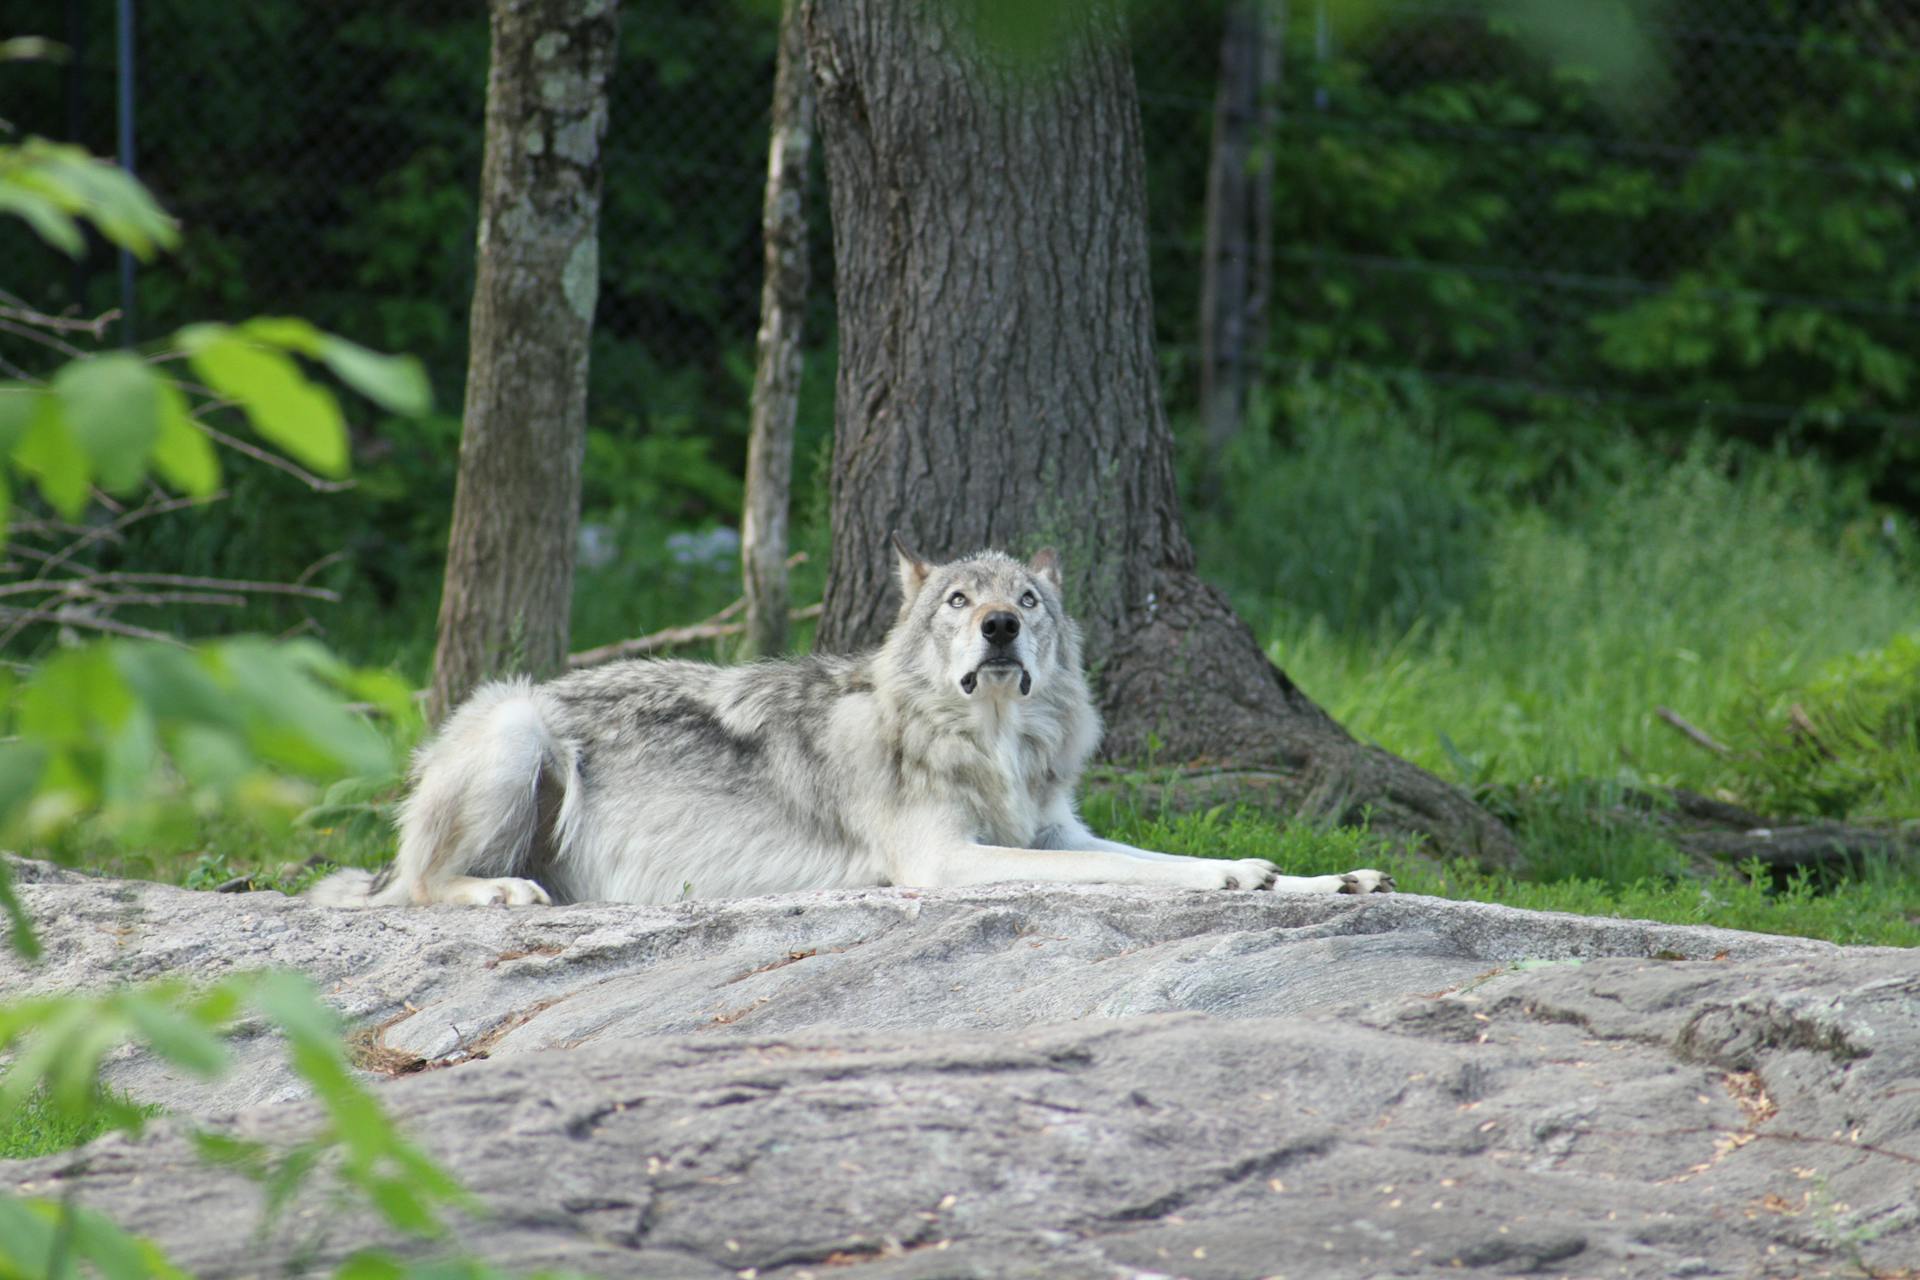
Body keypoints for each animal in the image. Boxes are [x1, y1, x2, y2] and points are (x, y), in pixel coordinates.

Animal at [311, 541, 1397, 909]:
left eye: (1027, 599)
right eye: (959, 599)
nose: (1001, 625)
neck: (986, 742)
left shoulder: (1054, 832)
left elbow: (1158, 856)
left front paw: (1310, 876)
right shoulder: (948, 860)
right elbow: (1139, 873)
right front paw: (1239, 879)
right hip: (516, 732)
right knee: (415, 887)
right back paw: (501, 894)